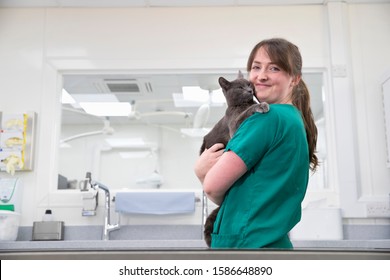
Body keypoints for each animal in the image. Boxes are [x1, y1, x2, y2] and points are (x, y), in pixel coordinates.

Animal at [200, 72, 270, 247]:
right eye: (239, 87)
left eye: (249, 84)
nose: (249, 90)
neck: (243, 104)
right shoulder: (235, 126)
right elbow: (247, 113)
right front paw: (261, 106)